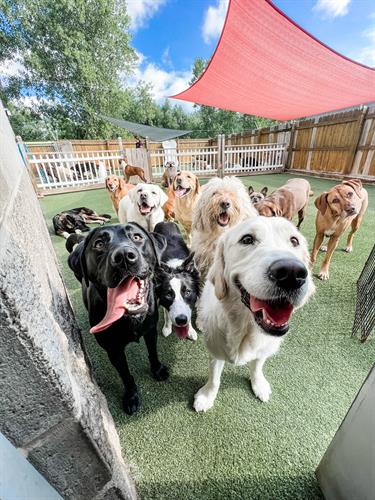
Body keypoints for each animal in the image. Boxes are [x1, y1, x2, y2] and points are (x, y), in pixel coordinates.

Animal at [67, 223, 168, 414]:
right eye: (99, 244)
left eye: (137, 237)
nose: (124, 257)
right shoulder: (113, 350)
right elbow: (125, 375)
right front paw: (131, 396)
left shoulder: (150, 330)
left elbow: (153, 352)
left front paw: (157, 370)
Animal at [194, 217, 314, 412]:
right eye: (247, 239)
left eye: (294, 241)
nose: (292, 273)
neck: (245, 327)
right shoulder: (216, 349)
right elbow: (214, 377)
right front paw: (207, 396)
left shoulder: (264, 348)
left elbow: (257, 366)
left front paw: (259, 385)